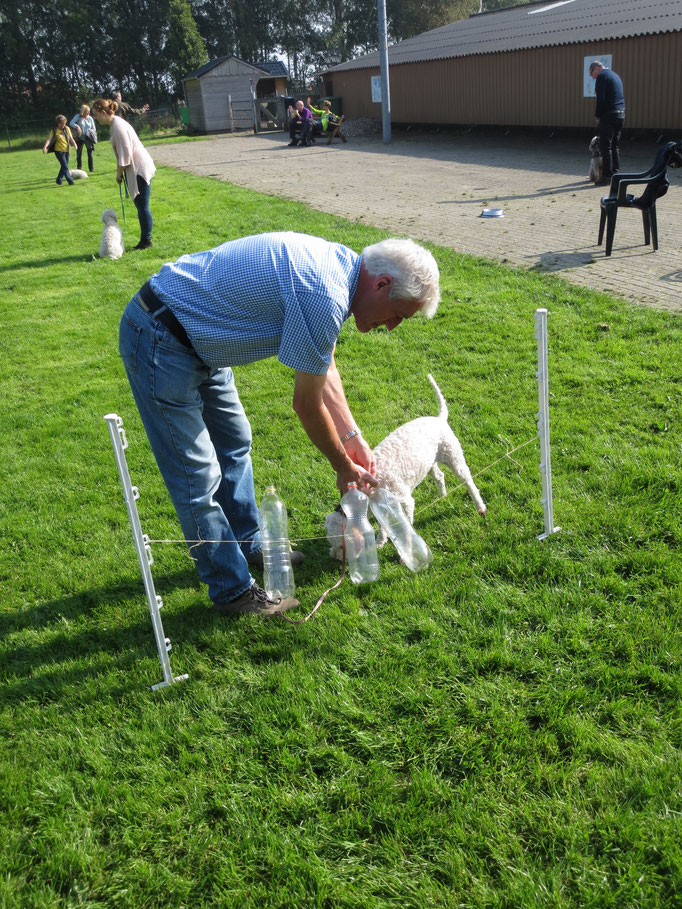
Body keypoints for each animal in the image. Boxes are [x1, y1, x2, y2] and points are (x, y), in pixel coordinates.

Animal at [324, 372, 484, 556]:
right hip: (429, 462)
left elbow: (406, 527)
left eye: (342, 546)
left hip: (453, 455)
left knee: (469, 482)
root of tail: (439, 419)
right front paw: (380, 542)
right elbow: (382, 526)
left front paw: (406, 552)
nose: (333, 555)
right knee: (439, 475)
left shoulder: (405, 501)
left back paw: (480, 506)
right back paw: (442, 496)